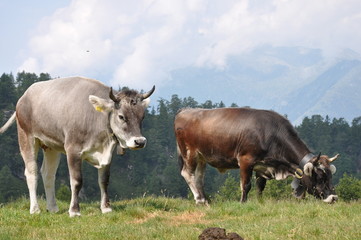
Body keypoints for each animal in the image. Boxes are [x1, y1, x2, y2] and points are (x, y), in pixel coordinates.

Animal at [0, 76, 153, 216]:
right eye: (121, 116)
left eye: (142, 117)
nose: (140, 141)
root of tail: (24, 96)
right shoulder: (73, 150)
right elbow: (76, 181)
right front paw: (74, 211)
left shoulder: (107, 154)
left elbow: (104, 181)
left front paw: (106, 208)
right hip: (27, 136)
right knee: (32, 172)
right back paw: (35, 209)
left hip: (51, 146)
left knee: (48, 174)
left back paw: (53, 208)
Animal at [174, 108, 338, 203]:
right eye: (319, 177)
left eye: (331, 176)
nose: (333, 197)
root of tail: (185, 110)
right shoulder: (246, 160)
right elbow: (246, 185)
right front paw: (243, 203)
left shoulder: (264, 166)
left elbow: (260, 187)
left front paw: (260, 203)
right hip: (189, 153)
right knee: (187, 173)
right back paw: (199, 199)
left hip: (202, 157)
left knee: (198, 177)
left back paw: (206, 200)